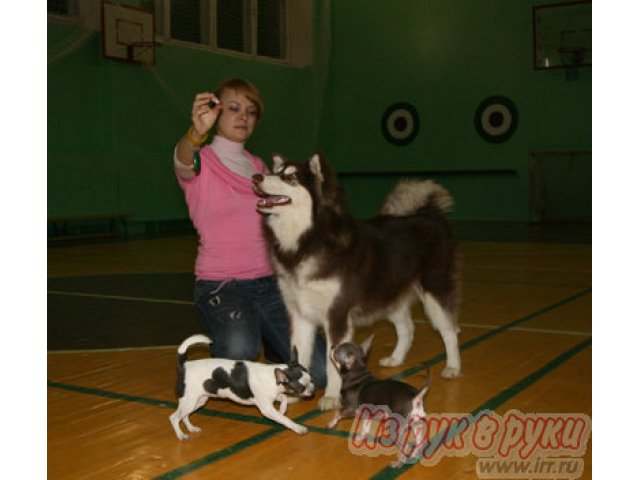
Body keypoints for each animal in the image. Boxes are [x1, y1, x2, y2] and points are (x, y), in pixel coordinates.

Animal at [170, 334, 316, 438]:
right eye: (302, 387)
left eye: (311, 380)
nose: (312, 390)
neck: (273, 377)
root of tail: (184, 365)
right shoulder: (267, 409)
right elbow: (285, 420)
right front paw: (298, 428)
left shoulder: (273, 397)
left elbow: (284, 399)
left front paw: (281, 409)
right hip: (189, 401)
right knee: (174, 417)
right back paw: (181, 435)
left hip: (198, 400)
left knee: (185, 416)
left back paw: (191, 428)